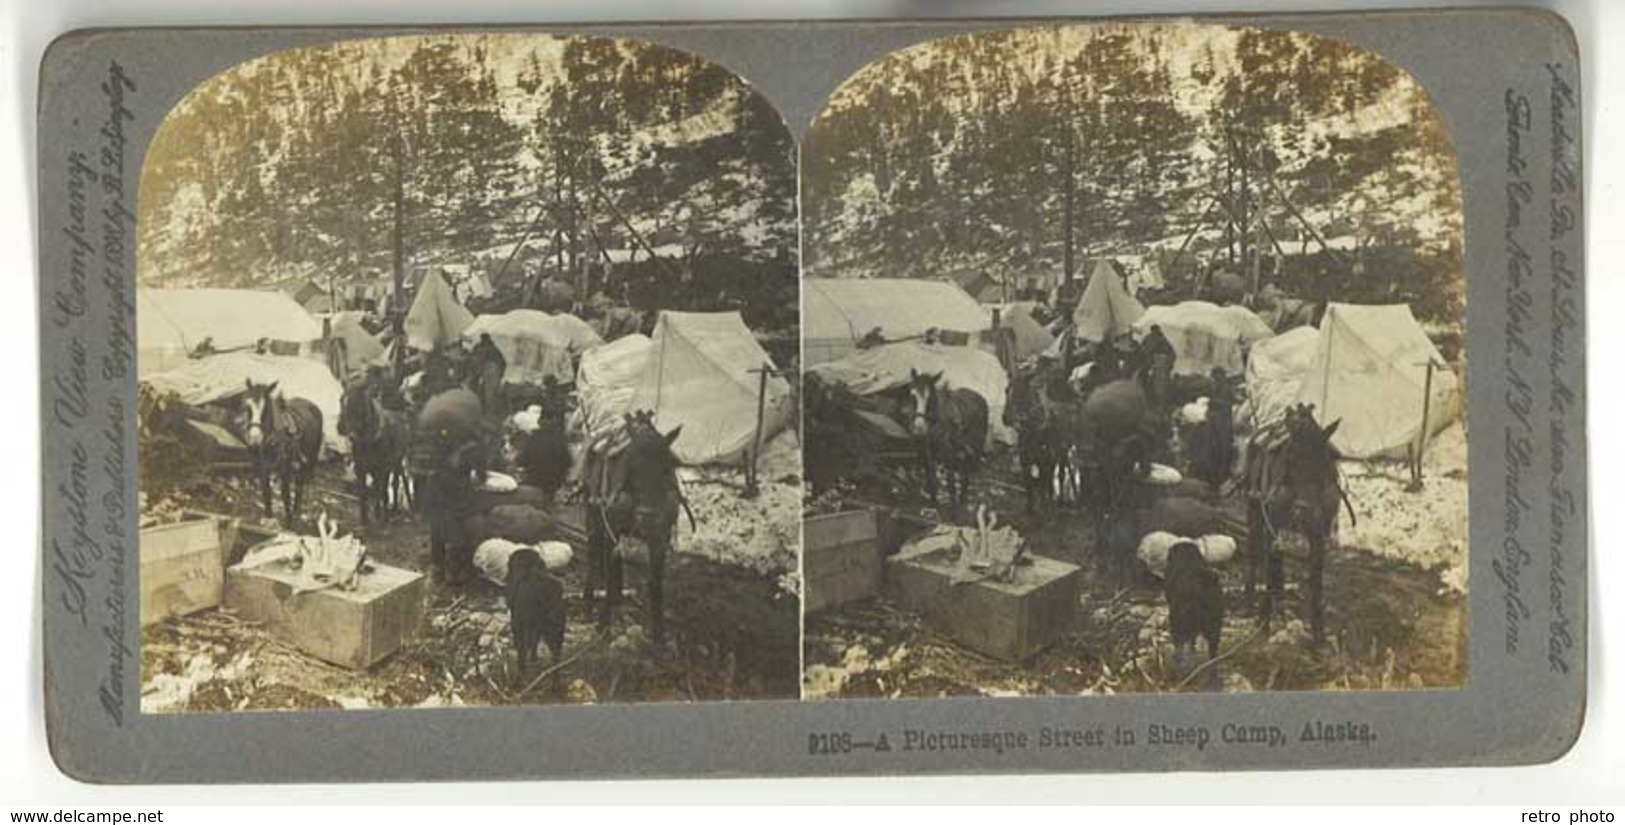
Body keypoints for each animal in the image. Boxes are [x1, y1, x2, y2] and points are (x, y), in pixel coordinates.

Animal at [235, 378, 323, 526]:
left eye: (266, 409)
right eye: (248, 407)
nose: (254, 440)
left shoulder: (284, 468)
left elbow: (285, 493)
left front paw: (289, 520)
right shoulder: (262, 467)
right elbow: (266, 490)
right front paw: (268, 516)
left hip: (309, 458)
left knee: (300, 484)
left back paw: (296, 511)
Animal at [336, 376, 409, 526]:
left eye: (357, 402)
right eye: (341, 399)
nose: (340, 427)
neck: (368, 440)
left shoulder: (381, 468)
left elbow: (379, 491)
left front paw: (378, 517)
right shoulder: (361, 468)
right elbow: (364, 493)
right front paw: (364, 519)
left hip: (396, 463)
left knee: (393, 484)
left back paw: (391, 511)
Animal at [588, 409, 695, 646]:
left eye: (667, 467)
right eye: (631, 465)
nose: (647, 518)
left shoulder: (660, 538)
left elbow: (655, 584)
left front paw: (659, 637)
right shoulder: (611, 529)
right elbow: (609, 573)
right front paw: (603, 626)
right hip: (594, 518)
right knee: (596, 553)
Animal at [903, 370, 988, 519]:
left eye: (931, 398)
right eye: (912, 395)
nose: (919, 428)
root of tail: (979, 397)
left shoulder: (949, 454)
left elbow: (950, 482)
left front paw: (953, 509)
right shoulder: (927, 453)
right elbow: (931, 478)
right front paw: (933, 504)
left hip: (975, 448)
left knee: (967, 473)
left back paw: (962, 499)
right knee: (963, 471)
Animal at [1241, 402, 1358, 646]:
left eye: (1323, 462)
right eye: (1290, 459)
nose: (1304, 510)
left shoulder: (1319, 532)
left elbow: (1316, 577)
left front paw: (1318, 633)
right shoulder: (1271, 524)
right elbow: (1269, 569)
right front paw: (1264, 624)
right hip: (1254, 512)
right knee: (1255, 555)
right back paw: (1252, 604)